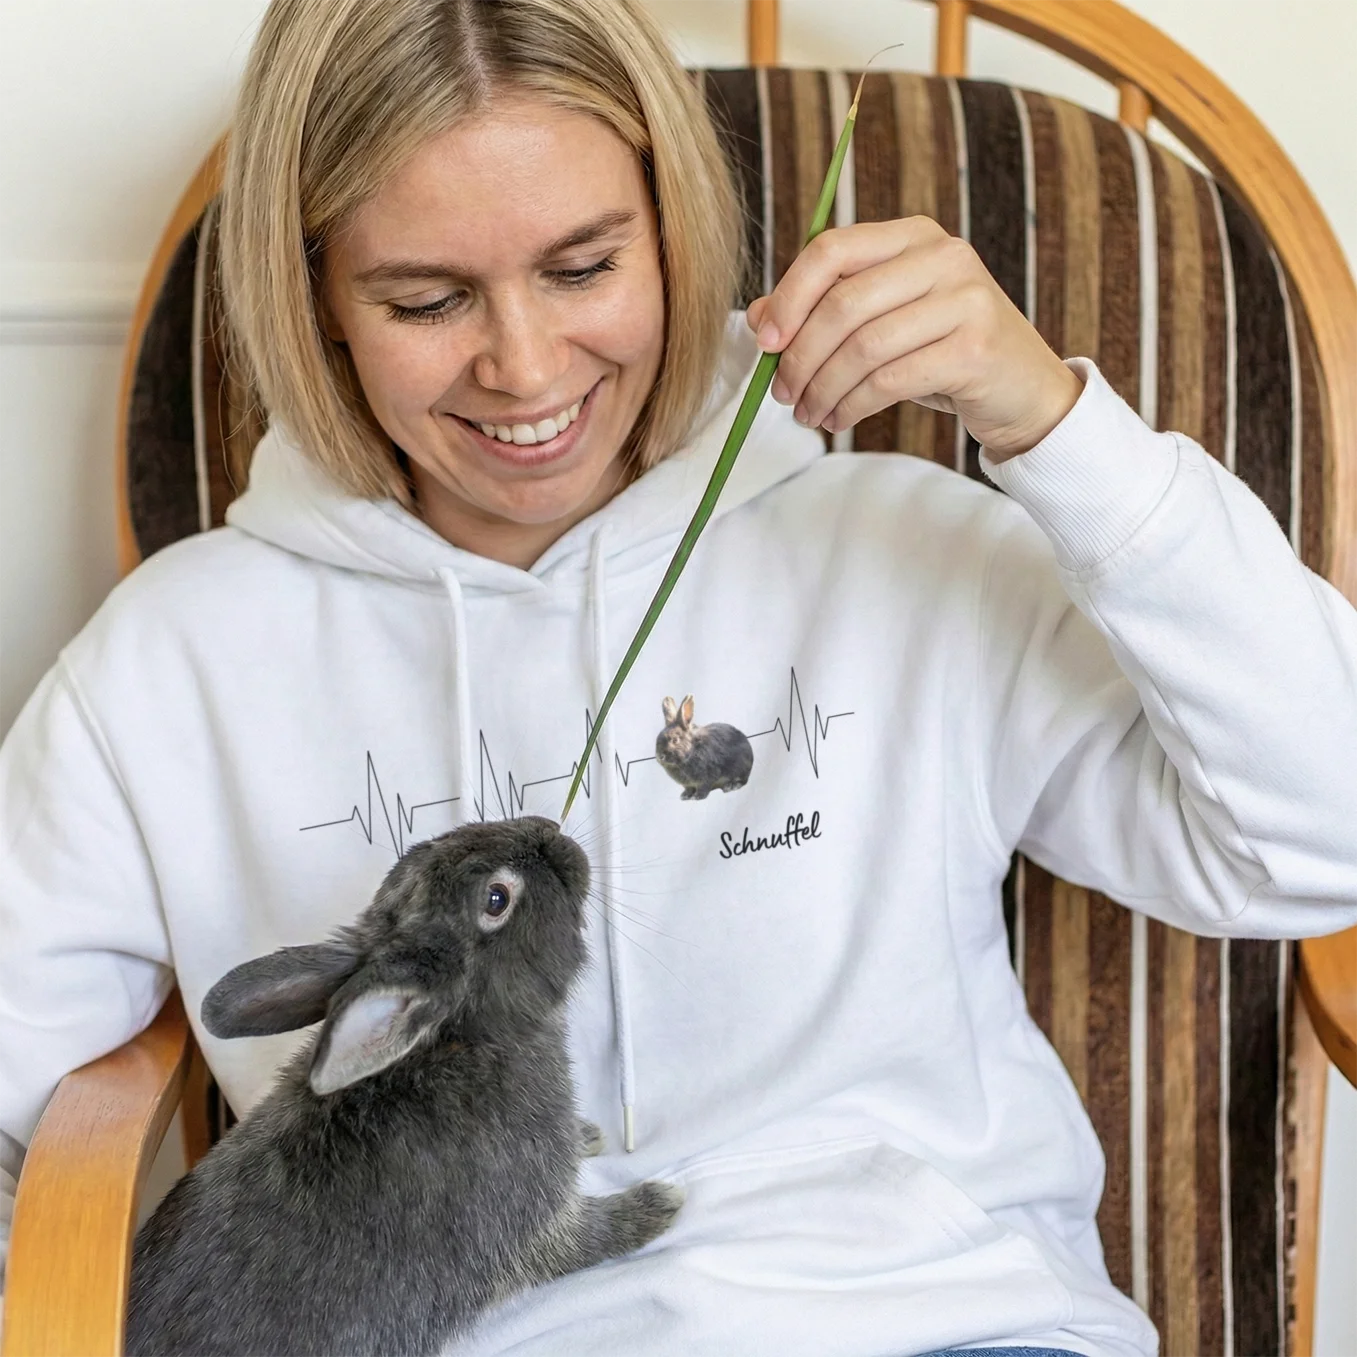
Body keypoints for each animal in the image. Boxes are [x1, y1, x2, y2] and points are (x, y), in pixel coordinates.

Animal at [126, 815, 683, 1357]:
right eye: (496, 899)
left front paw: (587, 1136)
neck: (458, 1041)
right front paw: (659, 1204)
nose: (552, 829)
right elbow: (590, 1237)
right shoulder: (529, 1224)